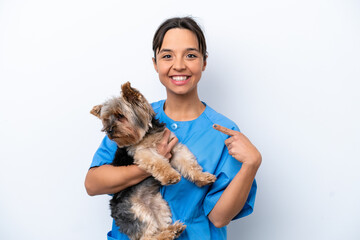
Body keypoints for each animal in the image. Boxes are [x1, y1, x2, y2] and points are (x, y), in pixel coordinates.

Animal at [91, 81, 215, 239]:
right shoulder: (144, 153)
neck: (147, 135)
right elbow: (159, 163)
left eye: (120, 116)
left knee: (159, 226)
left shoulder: (174, 147)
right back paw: (168, 233)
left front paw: (203, 177)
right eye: (106, 120)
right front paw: (171, 176)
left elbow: (188, 163)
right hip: (137, 212)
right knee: (148, 236)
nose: (109, 130)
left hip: (159, 206)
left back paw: (173, 230)